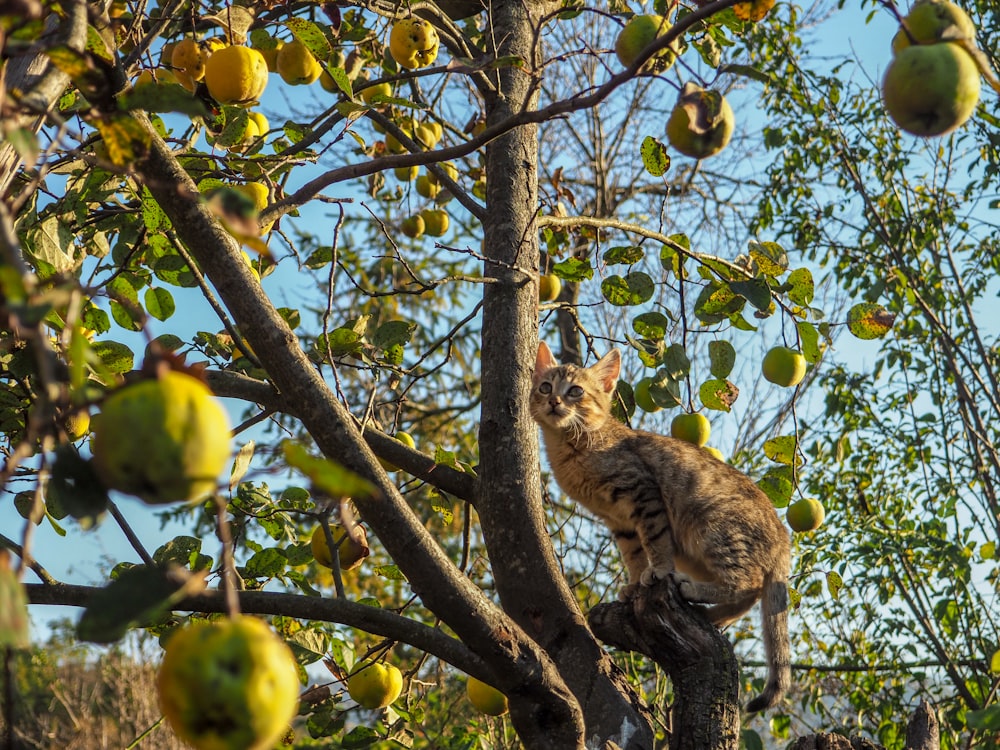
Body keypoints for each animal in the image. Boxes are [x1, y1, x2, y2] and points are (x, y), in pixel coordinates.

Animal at [528, 344, 792, 712]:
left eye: (575, 391)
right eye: (545, 387)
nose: (554, 401)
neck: (574, 445)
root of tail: (783, 536)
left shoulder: (643, 493)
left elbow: (655, 541)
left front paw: (658, 571)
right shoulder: (620, 522)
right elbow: (635, 554)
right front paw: (635, 583)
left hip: (713, 528)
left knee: (748, 582)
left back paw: (694, 591)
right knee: (752, 595)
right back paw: (716, 616)